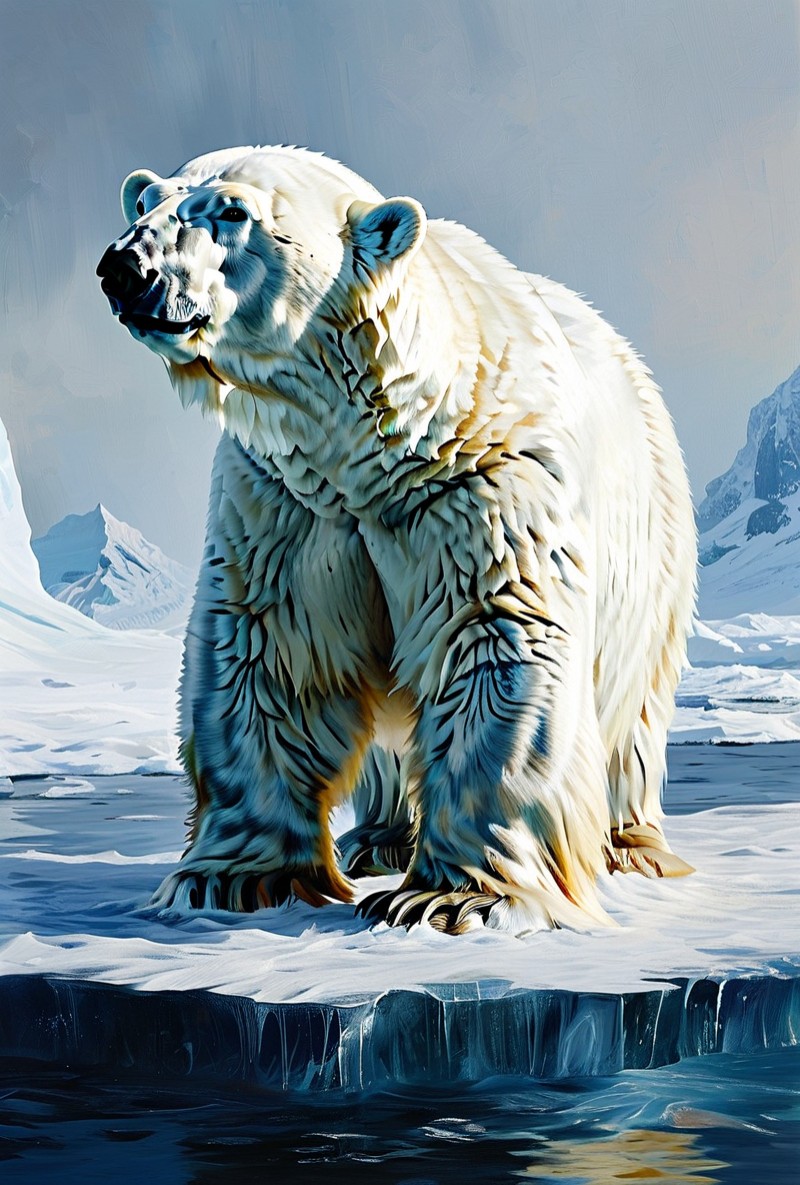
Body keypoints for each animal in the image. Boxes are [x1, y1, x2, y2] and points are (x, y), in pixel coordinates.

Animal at [97, 145, 697, 934]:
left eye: (231, 210)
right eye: (146, 203)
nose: (124, 268)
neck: (372, 446)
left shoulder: (479, 489)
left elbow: (495, 640)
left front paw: (455, 897)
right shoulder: (286, 501)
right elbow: (270, 652)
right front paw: (230, 879)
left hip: (654, 542)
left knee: (633, 711)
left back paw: (631, 846)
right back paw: (378, 840)